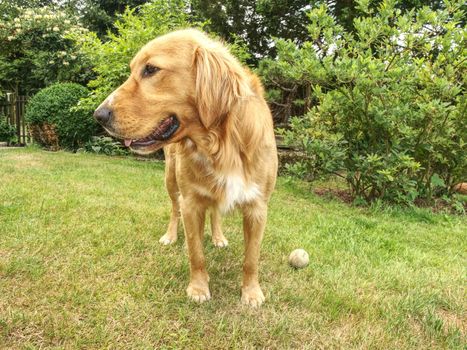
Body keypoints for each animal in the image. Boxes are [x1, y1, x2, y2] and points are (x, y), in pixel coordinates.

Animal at [94, 28, 278, 306]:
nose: (98, 115)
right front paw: (199, 288)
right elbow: (196, 252)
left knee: (215, 213)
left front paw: (251, 292)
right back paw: (171, 236)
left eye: (151, 69)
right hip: (171, 180)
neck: (222, 145)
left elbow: (251, 258)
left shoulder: (258, 207)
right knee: (174, 209)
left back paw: (218, 236)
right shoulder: (191, 202)